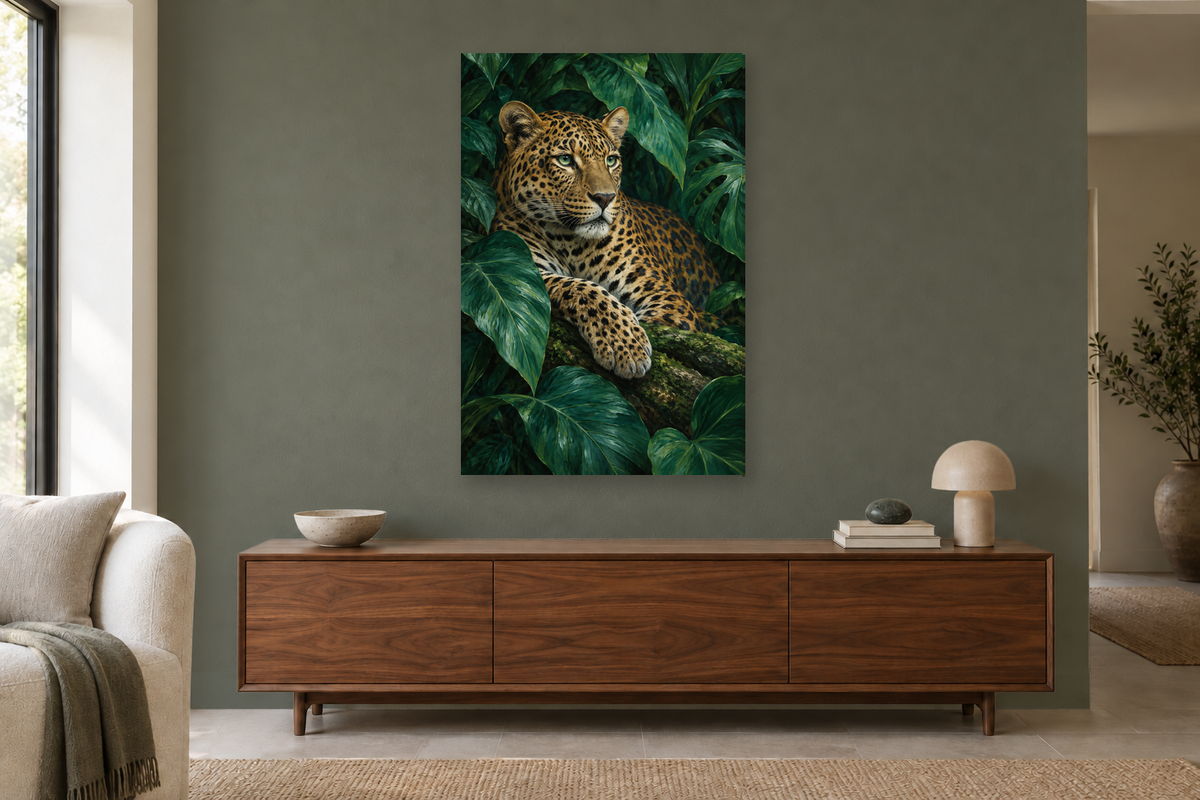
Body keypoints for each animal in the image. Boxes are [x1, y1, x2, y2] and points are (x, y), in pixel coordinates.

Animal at [491, 100, 724, 380]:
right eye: (565, 159)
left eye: (611, 160)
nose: (605, 197)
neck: (570, 241)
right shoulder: (521, 269)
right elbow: (581, 289)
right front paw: (624, 342)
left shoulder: (666, 299)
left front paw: (626, 343)